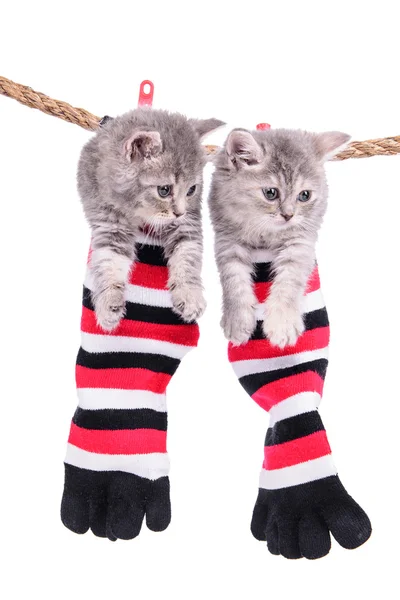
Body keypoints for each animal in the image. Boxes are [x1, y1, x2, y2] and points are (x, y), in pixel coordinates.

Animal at [76, 110, 223, 330]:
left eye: (191, 190)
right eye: (164, 190)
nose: (179, 212)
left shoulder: (186, 223)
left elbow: (187, 255)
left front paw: (189, 294)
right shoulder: (108, 219)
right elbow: (109, 260)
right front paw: (108, 303)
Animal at [209, 129, 350, 350]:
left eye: (305, 195)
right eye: (270, 193)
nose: (288, 215)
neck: (266, 233)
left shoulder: (300, 242)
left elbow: (290, 281)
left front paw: (282, 324)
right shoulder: (227, 239)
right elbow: (233, 281)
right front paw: (237, 320)